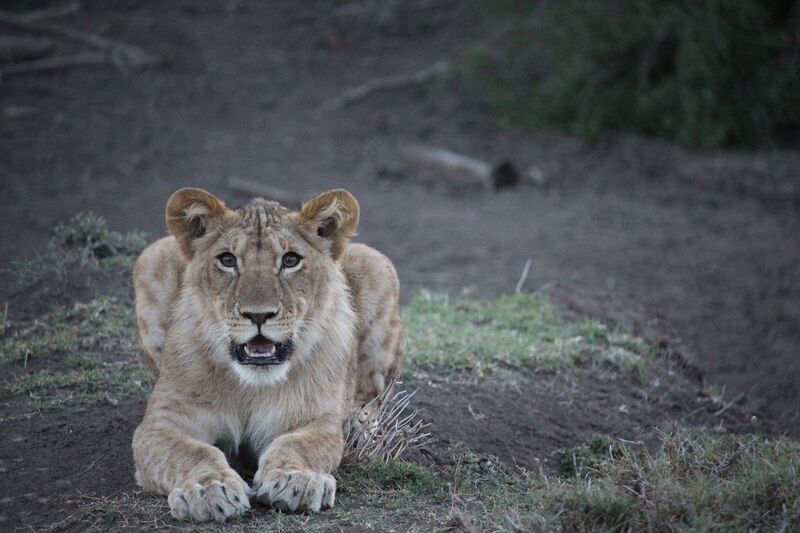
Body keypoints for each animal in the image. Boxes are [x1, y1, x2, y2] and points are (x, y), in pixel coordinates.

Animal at [131, 187, 405, 522]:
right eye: (227, 260)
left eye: (290, 260)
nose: (258, 315)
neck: (251, 386)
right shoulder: (163, 421)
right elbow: (192, 451)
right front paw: (209, 489)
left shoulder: (314, 420)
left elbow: (296, 445)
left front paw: (296, 479)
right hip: (153, 257)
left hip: (376, 265)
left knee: (371, 395)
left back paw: (357, 425)